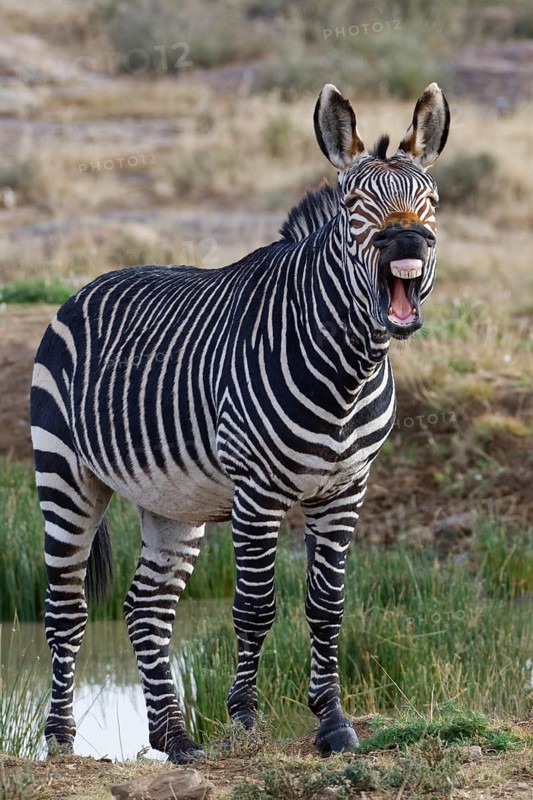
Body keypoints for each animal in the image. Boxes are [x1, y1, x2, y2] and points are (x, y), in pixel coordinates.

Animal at [30, 82, 449, 762]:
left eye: (430, 203)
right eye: (353, 206)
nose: (407, 247)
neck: (348, 369)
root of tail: (85, 286)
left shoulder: (347, 489)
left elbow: (327, 605)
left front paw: (332, 721)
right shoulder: (258, 490)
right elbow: (254, 607)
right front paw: (246, 720)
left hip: (173, 502)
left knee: (146, 609)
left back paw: (175, 737)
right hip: (64, 475)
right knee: (65, 607)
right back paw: (62, 740)